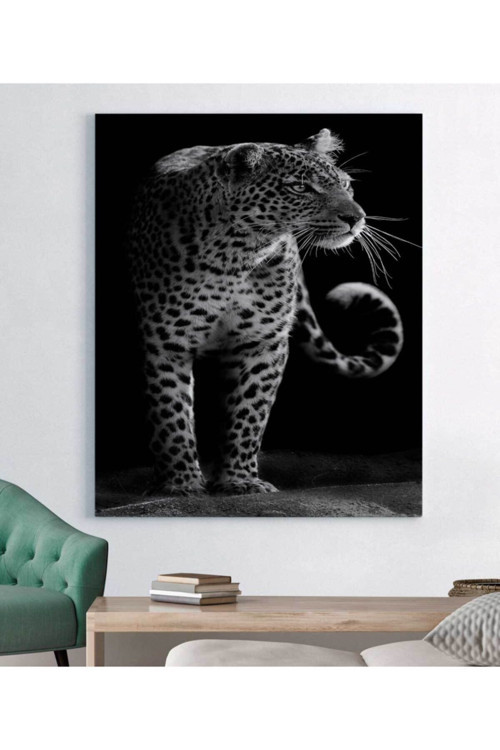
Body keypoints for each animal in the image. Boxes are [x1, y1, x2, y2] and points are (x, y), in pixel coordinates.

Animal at [128, 128, 404, 497]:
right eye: (300, 187)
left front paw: (239, 480)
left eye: (346, 185)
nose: (356, 218)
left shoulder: (262, 342)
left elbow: (249, 412)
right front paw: (180, 483)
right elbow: (170, 414)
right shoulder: (166, 342)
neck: (235, 254)